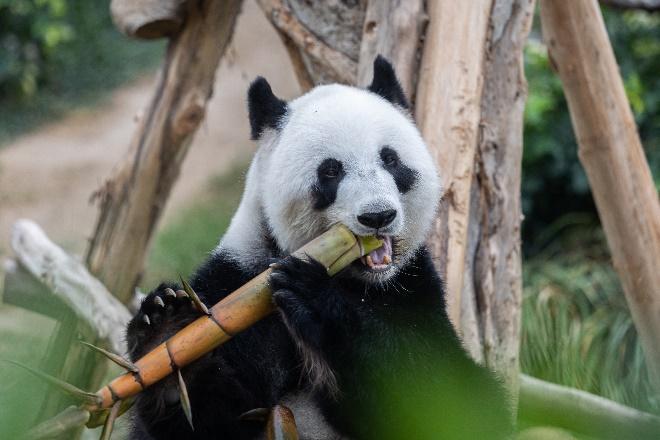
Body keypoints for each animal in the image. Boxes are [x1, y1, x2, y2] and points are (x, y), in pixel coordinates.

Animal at [129, 55, 510, 440]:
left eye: (390, 159)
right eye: (330, 172)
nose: (377, 216)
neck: (357, 282)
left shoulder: (413, 290)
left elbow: (455, 400)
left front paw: (314, 298)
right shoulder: (236, 284)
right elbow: (206, 422)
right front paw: (167, 337)